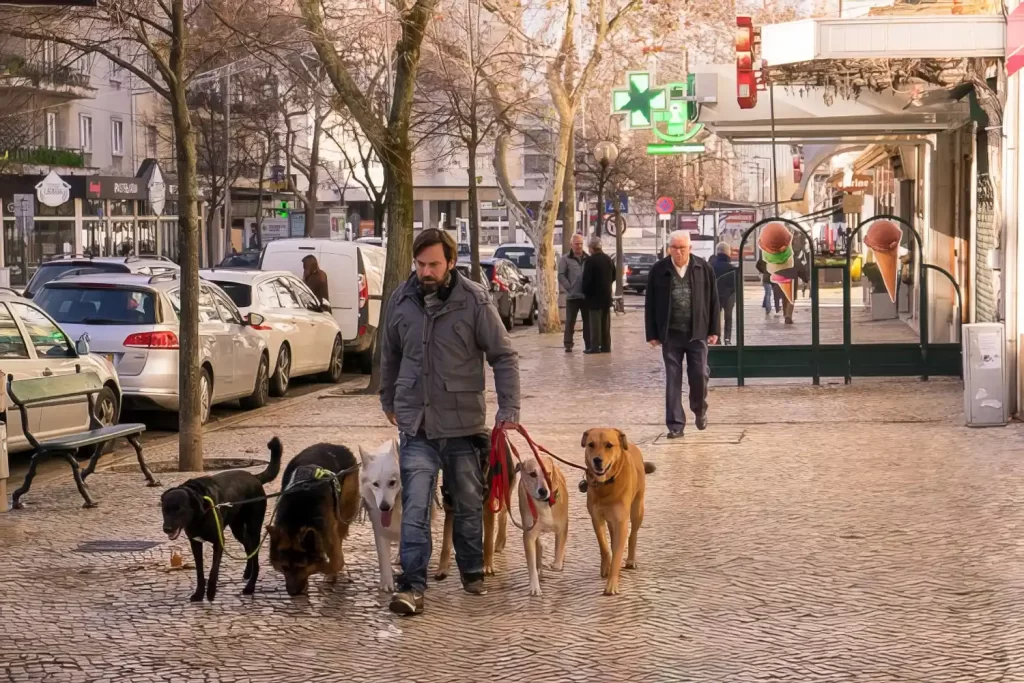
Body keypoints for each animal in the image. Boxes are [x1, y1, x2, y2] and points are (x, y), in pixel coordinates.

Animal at [162, 436, 284, 602]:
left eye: (178, 509)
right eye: (164, 510)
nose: (166, 529)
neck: (200, 511)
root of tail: (254, 477)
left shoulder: (219, 542)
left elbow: (214, 570)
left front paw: (211, 593)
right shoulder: (195, 543)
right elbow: (200, 572)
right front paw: (199, 594)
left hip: (253, 528)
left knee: (255, 553)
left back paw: (250, 586)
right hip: (237, 528)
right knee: (248, 546)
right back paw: (247, 572)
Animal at [266, 440, 362, 593]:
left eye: (301, 567)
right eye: (284, 567)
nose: (293, 593)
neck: (297, 517)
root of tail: (335, 446)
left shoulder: (328, 537)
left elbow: (334, 563)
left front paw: (324, 568)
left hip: (343, 513)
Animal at [358, 444, 401, 593]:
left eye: (392, 483)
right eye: (375, 484)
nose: (384, 507)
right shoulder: (379, 527)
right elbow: (383, 556)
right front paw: (387, 583)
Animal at [516, 456, 573, 593]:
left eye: (548, 473)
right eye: (532, 474)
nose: (543, 491)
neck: (544, 504)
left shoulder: (562, 528)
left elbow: (558, 555)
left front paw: (556, 565)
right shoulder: (529, 534)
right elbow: (531, 564)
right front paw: (535, 587)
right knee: (538, 546)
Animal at [581, 430, 659, 593]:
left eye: (609, 445)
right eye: (591, 444)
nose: (597, 460)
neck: (607, 485)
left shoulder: (621, 521)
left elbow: (618, 553)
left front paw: (611, 584)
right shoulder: (596, 518)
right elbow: (604, 546)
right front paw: (606, 567)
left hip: (637, 510)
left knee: (633, 534)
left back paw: (630, 559)